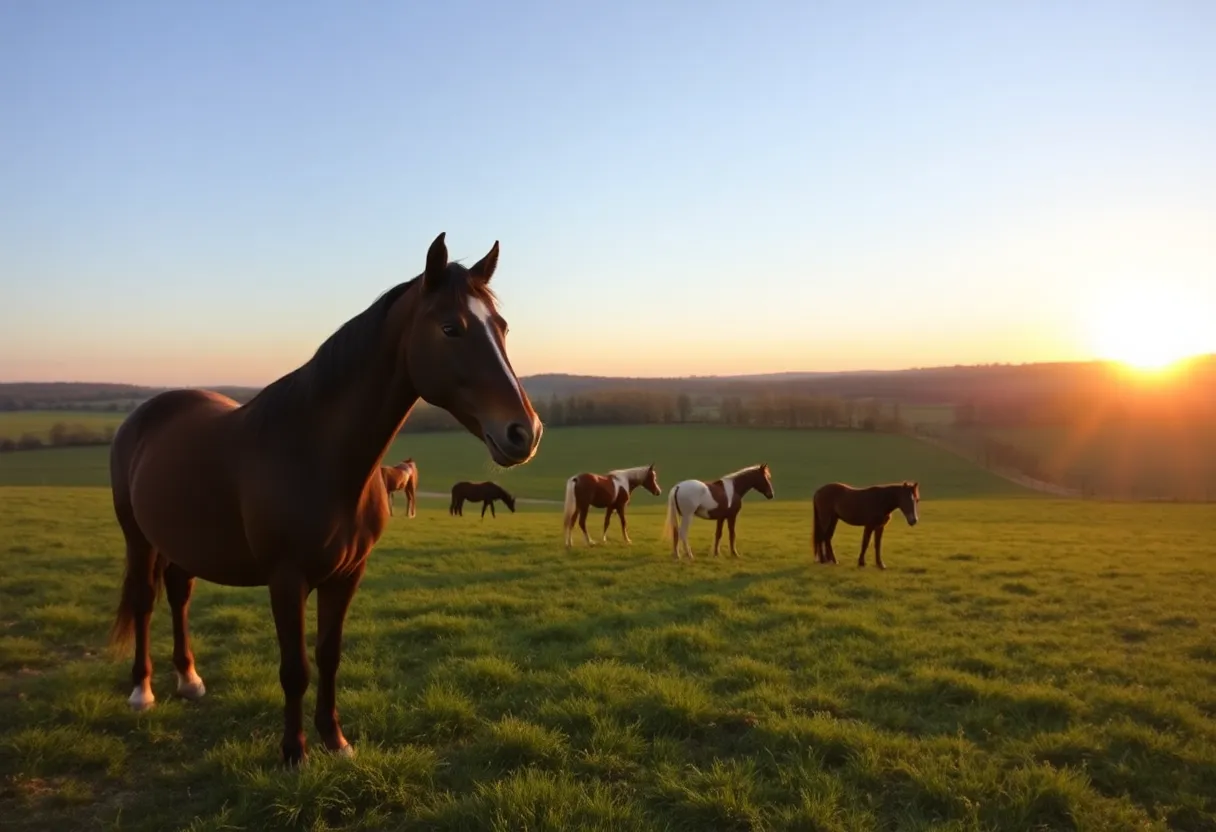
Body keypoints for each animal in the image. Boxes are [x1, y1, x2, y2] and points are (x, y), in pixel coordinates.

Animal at [106, 232, 542, 766]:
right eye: (450, 328)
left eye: (501, 327)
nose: (525, 432)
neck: (319, 455)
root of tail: (143, 416)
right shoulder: (286, 579)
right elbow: (295, 667)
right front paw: (294, 753)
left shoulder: (347, 575)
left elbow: (329, 657)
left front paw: (335, 740)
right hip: (138, 537)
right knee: (144, 601)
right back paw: (141, 691)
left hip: (180, 543)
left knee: (178, 593)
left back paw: (188, 679)